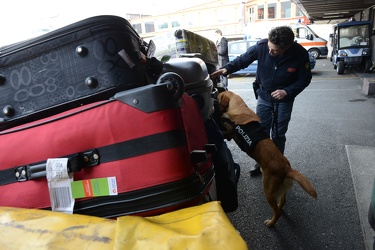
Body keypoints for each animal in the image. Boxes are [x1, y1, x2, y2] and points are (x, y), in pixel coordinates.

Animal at [217, 91, 318, 228]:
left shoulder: (228, 132)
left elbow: (224, 131)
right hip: (280, 189)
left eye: (217, 96)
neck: (239, 108)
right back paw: (280, 207)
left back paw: (271, 223)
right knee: (283, 201)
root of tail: (287, 169)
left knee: (276, 212)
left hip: (268, 191)